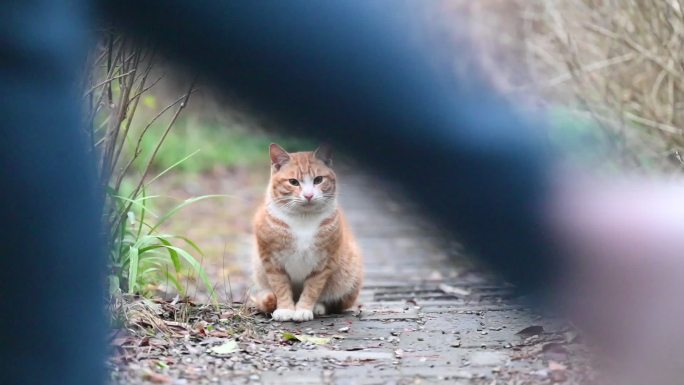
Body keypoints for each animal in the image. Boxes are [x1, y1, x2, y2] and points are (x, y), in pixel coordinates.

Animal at [251, 142, 364, 320]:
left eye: (318, 180)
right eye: (293, 182)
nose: (309, 195)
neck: (303, 219)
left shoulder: (324, 263)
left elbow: (312, 289)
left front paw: (303, 309)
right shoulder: (272, 261)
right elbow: (281, 287)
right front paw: (286, 309)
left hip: (348, 277)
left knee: (336, 303)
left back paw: (318, 307)